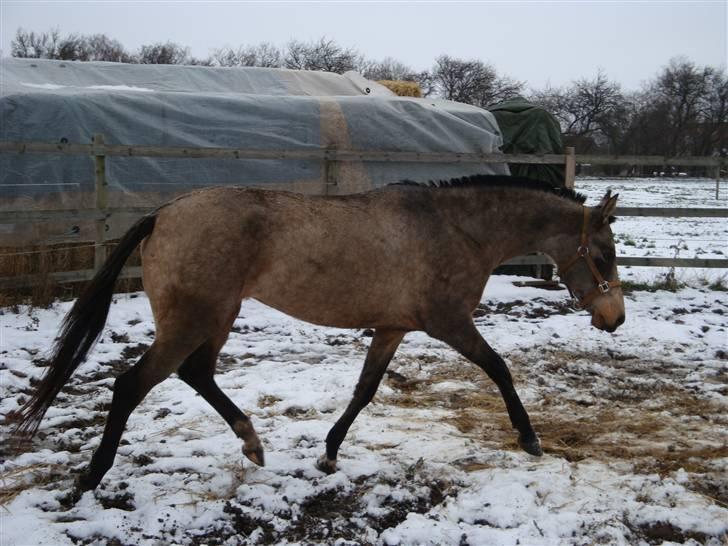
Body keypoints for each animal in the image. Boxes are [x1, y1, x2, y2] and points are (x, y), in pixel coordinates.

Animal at [12, 173, 624, 498]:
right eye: (602, 255)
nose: (614, 318)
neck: (454, 229)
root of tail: (163, 214)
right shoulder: (449, 323)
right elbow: (499, 368)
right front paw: (530, 438)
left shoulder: (393, 327)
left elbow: (365, 390)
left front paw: (329, 454)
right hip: (193, 321)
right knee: (131, 386)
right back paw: (91, 479)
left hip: (214, 319)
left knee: (196, 374)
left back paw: (253, 444)